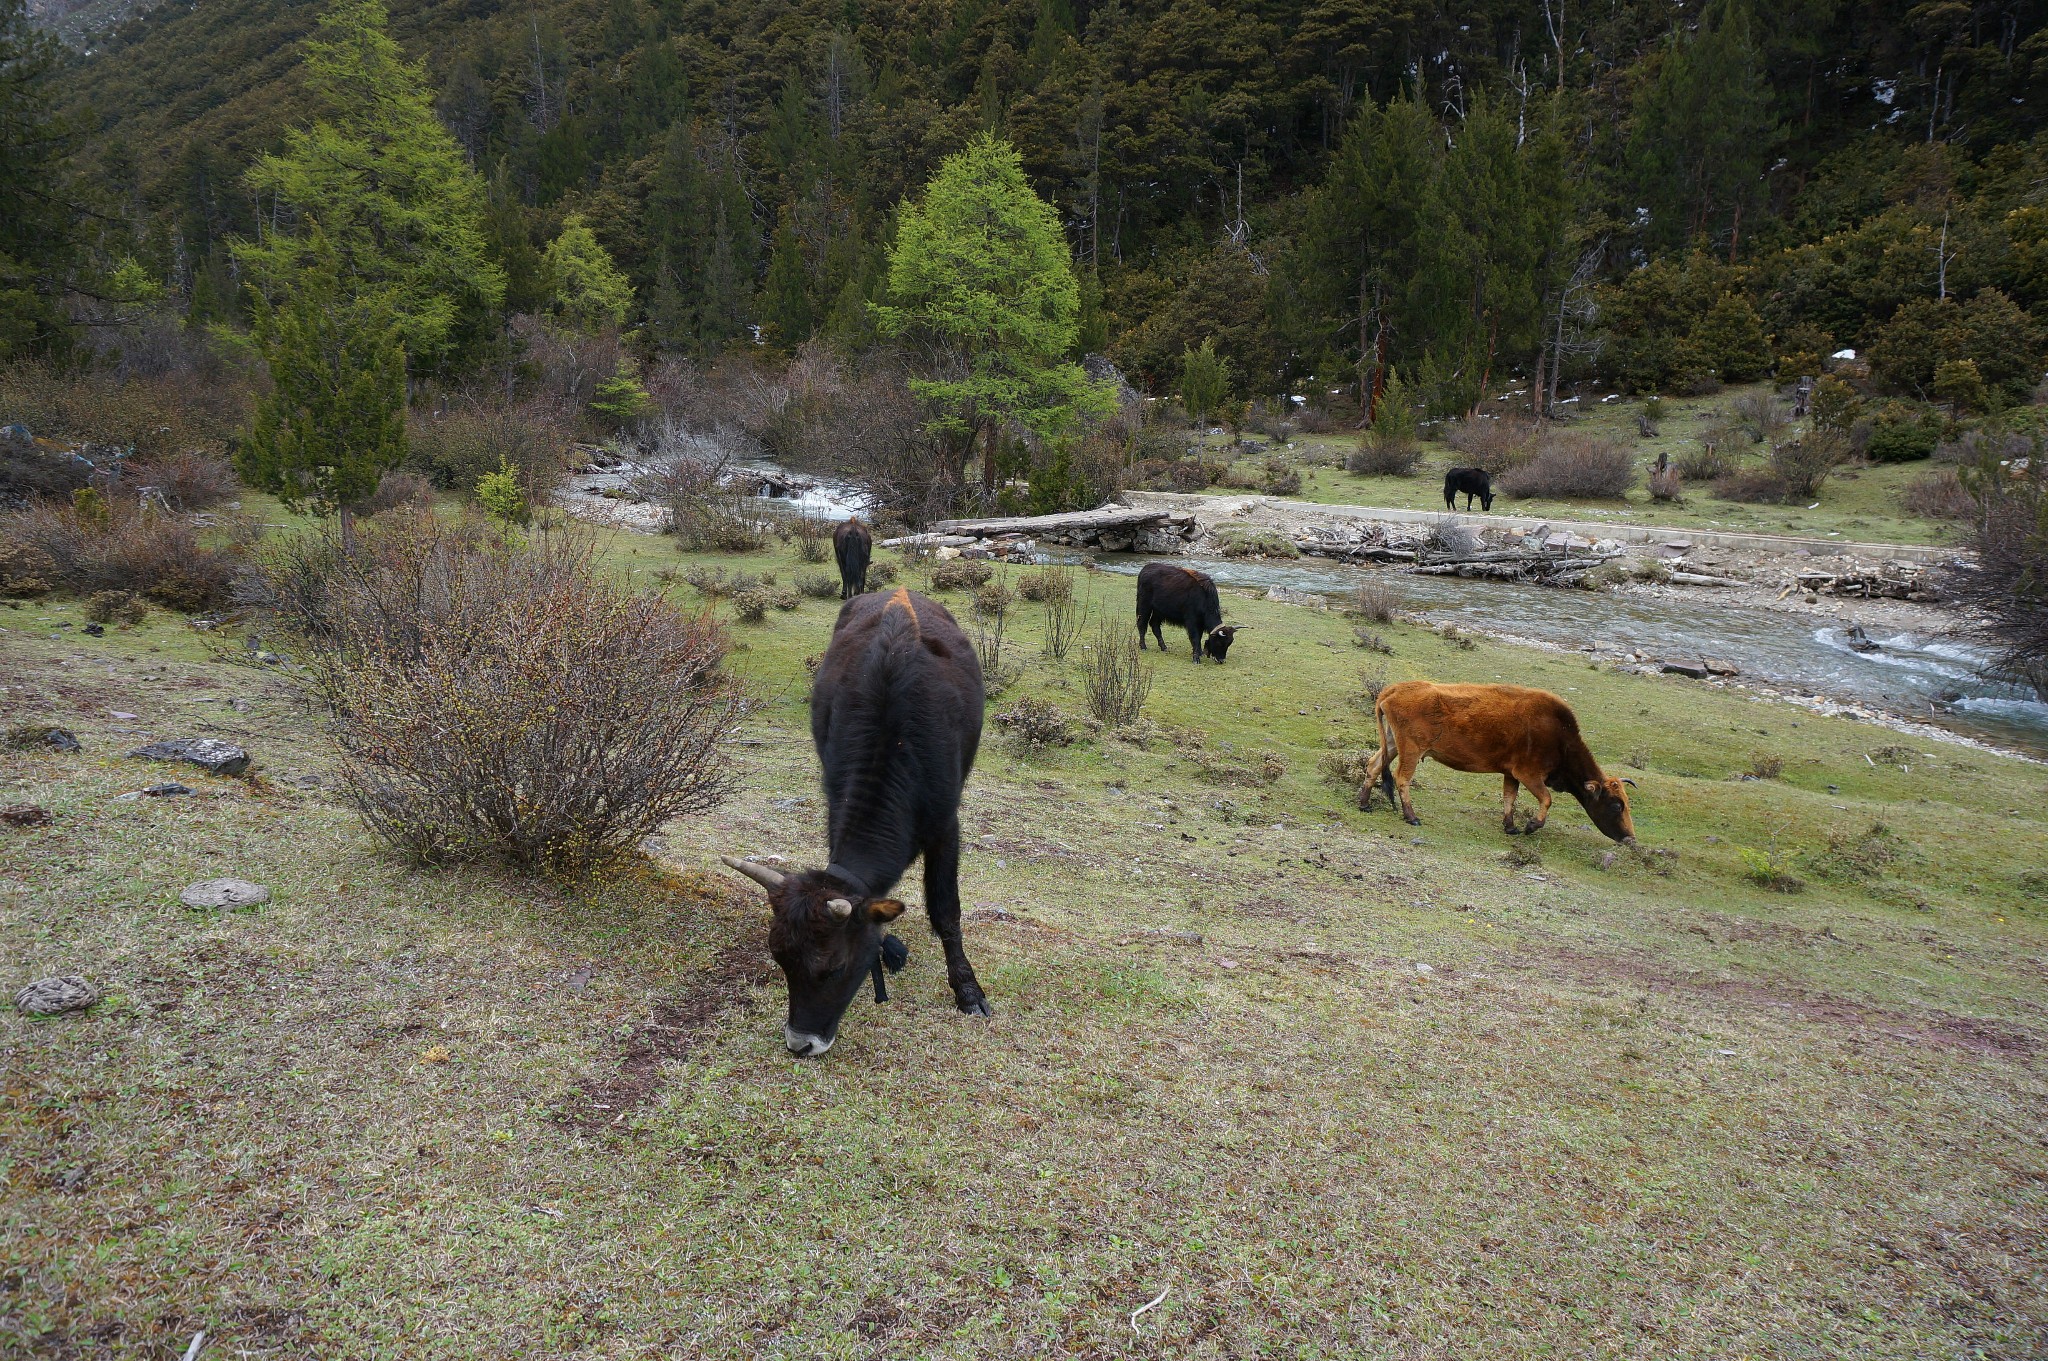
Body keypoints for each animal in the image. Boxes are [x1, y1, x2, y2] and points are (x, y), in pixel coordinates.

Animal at [724, 581, 987, 1047]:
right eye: (781, 961)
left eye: (834, 968)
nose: (801, 1042)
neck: (894, 743)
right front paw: (887, 948)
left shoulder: (945, 826)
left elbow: (947, 910)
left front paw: (967, 989)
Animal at [1359, 679, 1630, 839]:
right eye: (1616, 805)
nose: (1629, 837)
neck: (1559, 736)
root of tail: (1392, 690)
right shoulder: (1528, 774)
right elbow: (1547, 799)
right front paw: (1531, 825)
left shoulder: (1511, 774)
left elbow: (1509, 798)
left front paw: (1510, 826)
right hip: (1411, 751)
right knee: (1401, 778)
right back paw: (1411, 816)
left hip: (1392, 744)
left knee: (1373, 765)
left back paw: (1364, 804)